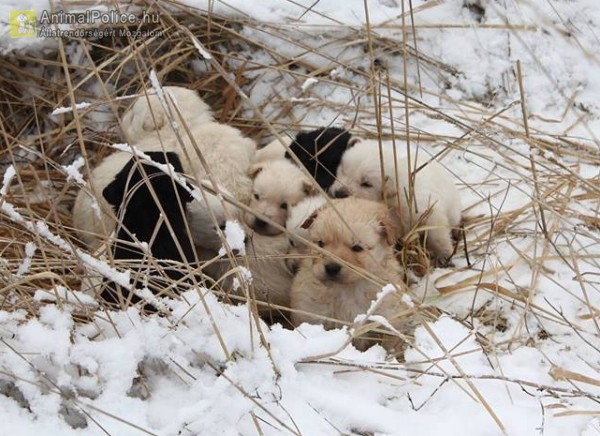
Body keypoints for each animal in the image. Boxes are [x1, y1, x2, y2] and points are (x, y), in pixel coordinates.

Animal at [290, 199, 418, 352]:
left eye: (357, 247)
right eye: (320, 243)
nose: (331, 268)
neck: (347, 289)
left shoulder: (390, 316)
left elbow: (389, 342)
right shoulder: (311, 314)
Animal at [330, 141, 462, 268]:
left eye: (366, 183)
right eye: (343, 170)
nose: (338, 193)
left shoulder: (423, 209)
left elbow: (437, 230)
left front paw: (443, 255)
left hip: (453, 205)